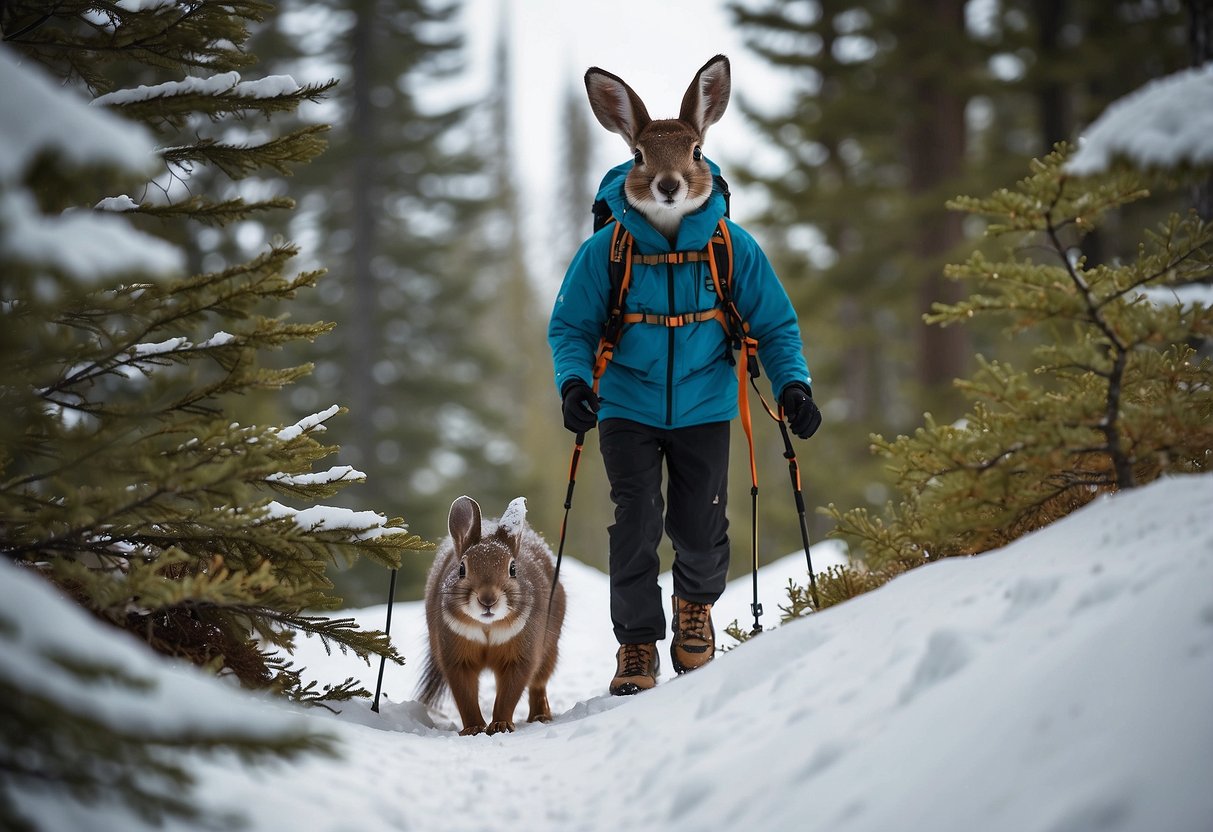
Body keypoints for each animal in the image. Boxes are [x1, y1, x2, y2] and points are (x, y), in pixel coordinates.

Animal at [417, 494, 567, 737]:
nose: (487, 600)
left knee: (538, 684)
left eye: (513, 568)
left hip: (550, 647)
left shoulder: (522, 653)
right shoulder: (455, 655)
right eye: (461, 568)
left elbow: (510, 692)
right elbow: (465, 695)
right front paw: (474, 727)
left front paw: (500, 725)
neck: (487, 627)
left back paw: (540, 716)